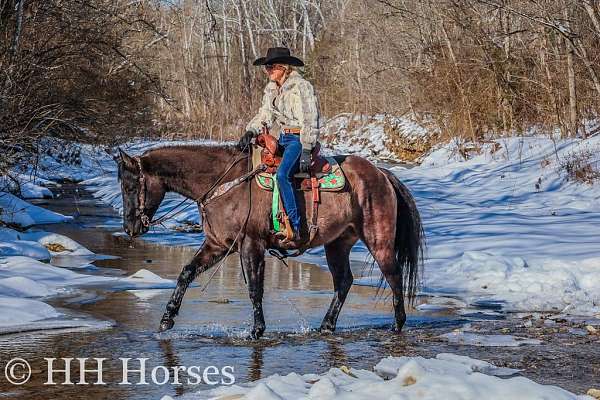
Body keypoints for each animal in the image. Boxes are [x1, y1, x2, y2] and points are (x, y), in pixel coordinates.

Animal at [117, 144, 424, 338]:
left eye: (130, 185)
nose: (130, 227)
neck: (224, 183)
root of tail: (381, 174)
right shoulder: (217, 246)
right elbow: (186, 273)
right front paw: (166, 319)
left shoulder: (251, 245)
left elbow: (255, 288)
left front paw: (257, 330)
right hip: (337, 243)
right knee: (344, 281)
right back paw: (326, 326)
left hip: (378, 239)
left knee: (393, 275)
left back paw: (397, 325)